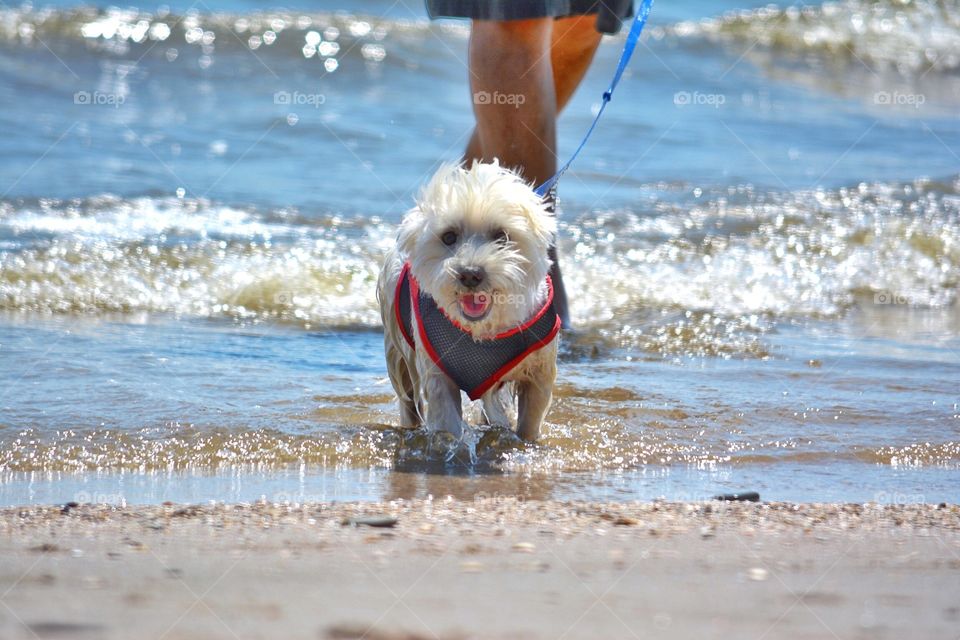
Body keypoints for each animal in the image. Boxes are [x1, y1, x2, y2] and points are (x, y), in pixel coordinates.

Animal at [376, 160, 560, 442]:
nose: (471, 274)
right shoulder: (437, 374)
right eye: (449, 236)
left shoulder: (539, 371)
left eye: (501, 236)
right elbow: (446, 420)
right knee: (408, 401)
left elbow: (530, 421)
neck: (483, 331)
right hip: (398, 351)